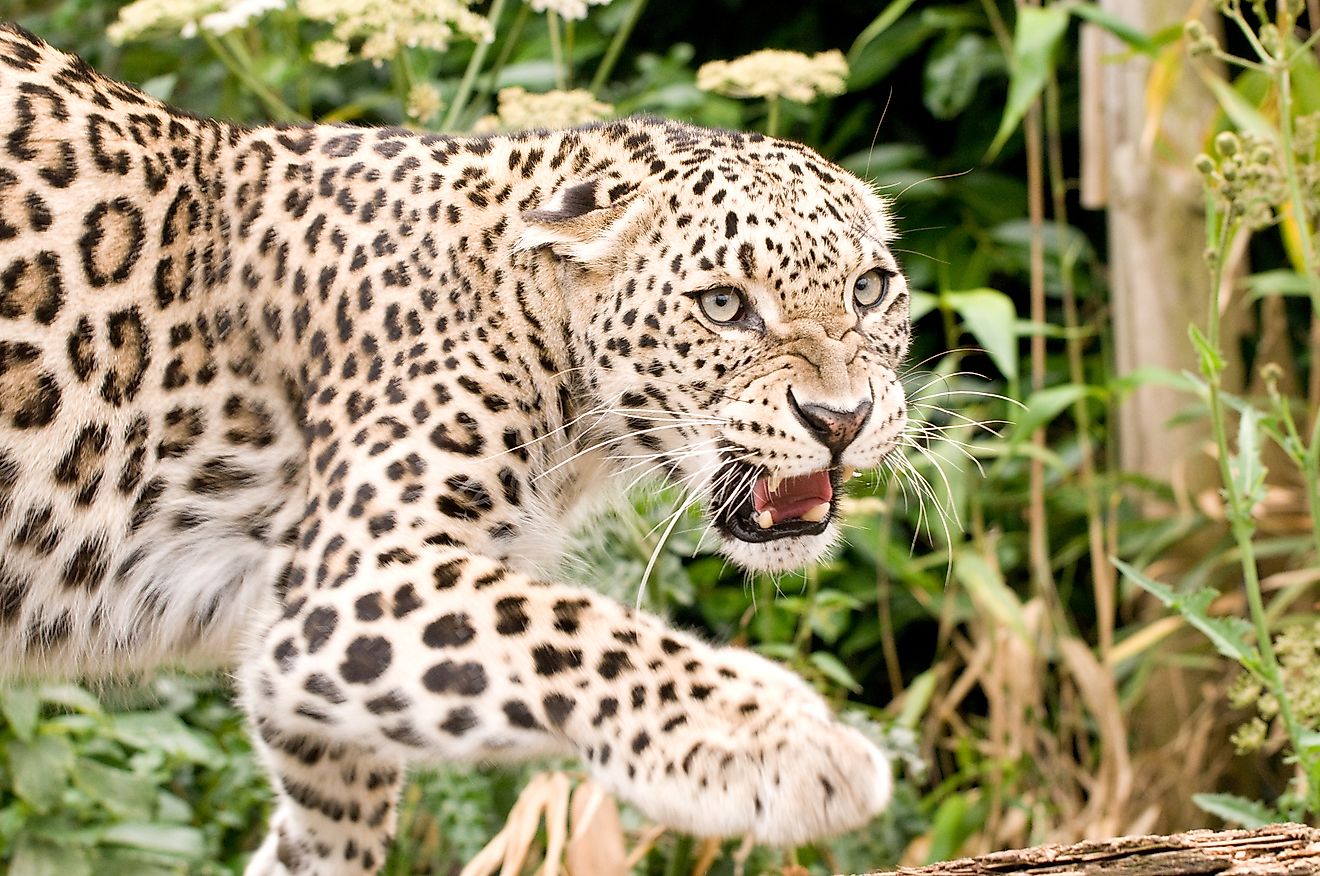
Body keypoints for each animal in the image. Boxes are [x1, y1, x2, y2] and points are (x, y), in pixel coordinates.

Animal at [0, 23, 908, 870]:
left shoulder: (303, 675)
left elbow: (330, 820)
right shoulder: (348, 580)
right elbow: (577, 632)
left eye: (870, 291)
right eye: (722, 305)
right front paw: (783, 747)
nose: (841, 419)